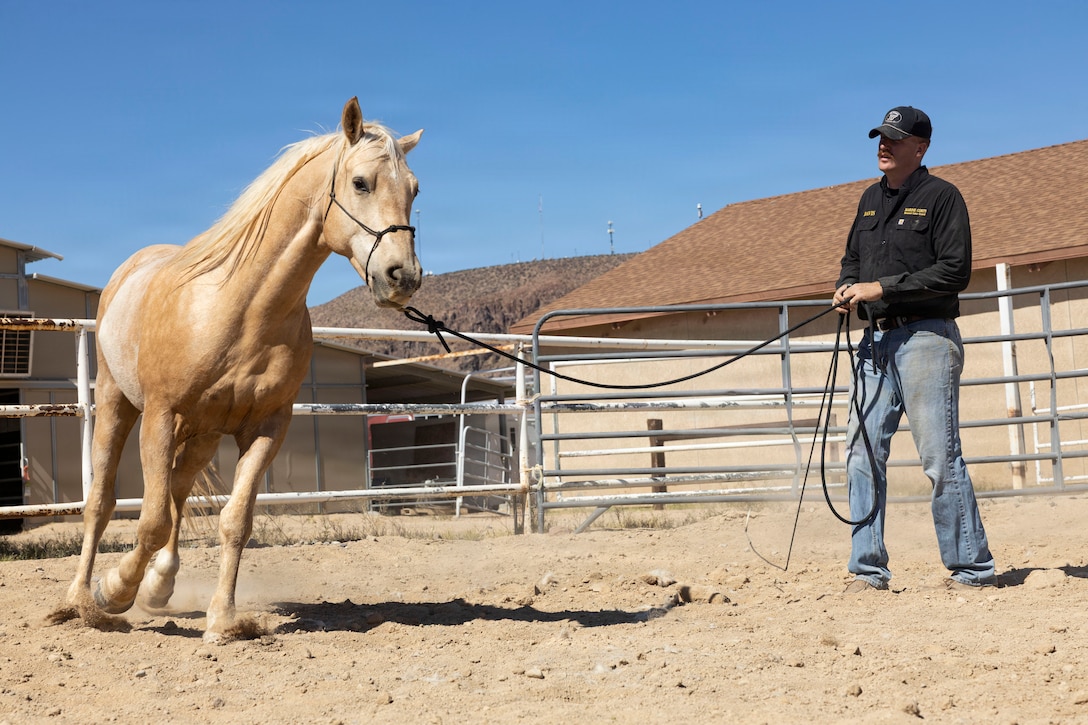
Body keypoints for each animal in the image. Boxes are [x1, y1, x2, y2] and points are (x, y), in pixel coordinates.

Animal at [49, 97, 423, 642]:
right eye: (360, 182)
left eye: (415, 189)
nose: (403, 277)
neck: (241, 309)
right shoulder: (160, 418)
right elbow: (150, 520)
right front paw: (114, 591)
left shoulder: (267, 427)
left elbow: (235, 520)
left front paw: (223, 621)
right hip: (118, 405)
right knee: (101, 502)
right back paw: (80, 600)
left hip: (203, 434)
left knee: (178, 490)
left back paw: (160, 585)